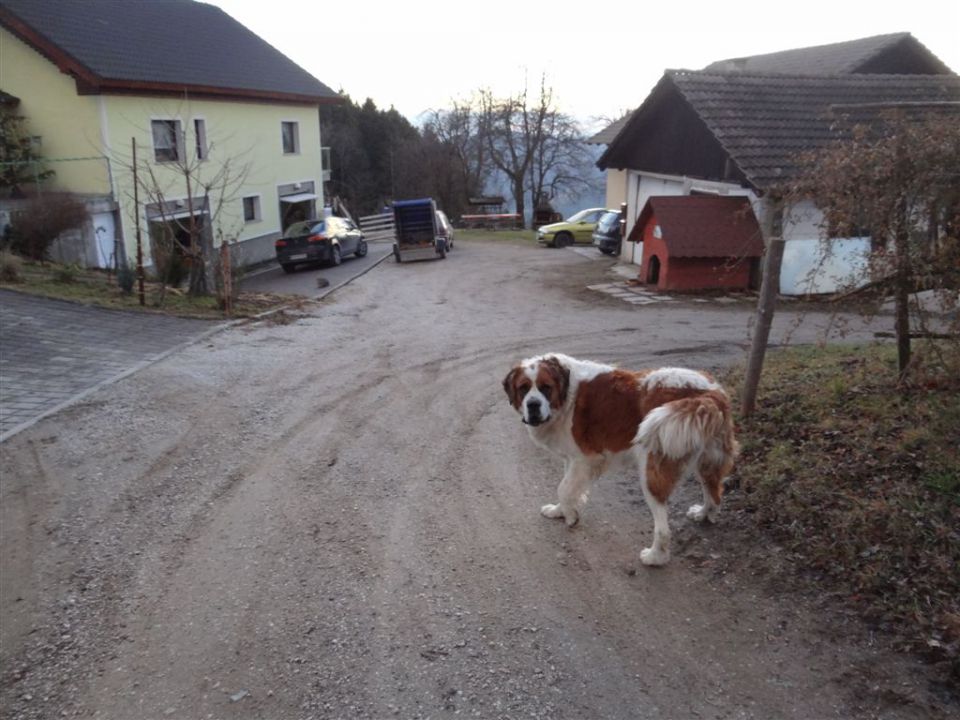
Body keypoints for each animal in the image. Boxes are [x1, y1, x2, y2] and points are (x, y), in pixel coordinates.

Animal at [506, 352, 740, 564]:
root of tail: (711, 393)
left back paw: (655, 557)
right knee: (714, 493)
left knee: (663, 526)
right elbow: (568, 487)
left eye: (545, 387)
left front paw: (571, 517)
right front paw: (560, 511)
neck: (565, 398)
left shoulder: (586, 459)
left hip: (651, 470)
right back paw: (703, 514)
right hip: (706, 459)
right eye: (523, 388)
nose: (533, 405)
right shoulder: (572, 459)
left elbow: (563, 488)